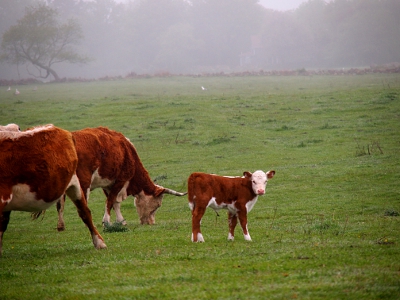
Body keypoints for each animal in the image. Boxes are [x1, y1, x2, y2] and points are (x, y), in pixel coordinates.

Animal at [56, 126, 186, 230]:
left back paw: (61, 226)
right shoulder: (120, 180)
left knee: (60, 203)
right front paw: (106, 222)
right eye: (158, 205)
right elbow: (110, 201)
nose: (151, 223)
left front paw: (120, 221)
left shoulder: (108, 185)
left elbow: (114, 203)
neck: (128, 151)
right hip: (84, 182)